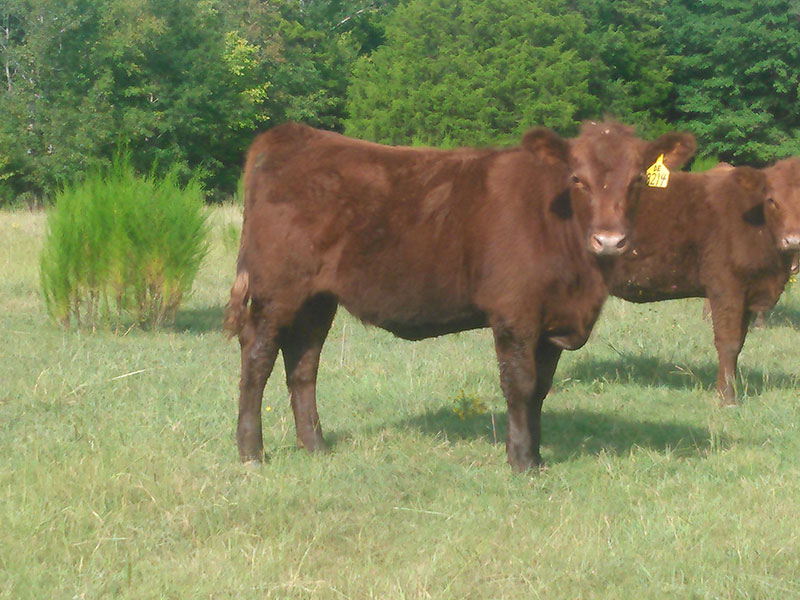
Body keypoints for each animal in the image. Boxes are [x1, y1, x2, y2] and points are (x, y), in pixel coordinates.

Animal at [224, 121, 695, 472]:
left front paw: (537, 456)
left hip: (317, 300)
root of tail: (291, 134)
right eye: (578, 179)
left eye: (636, 181)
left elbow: (541, 389)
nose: (610, 240)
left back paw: (316, 446)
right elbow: (520, 385)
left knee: (302, 364)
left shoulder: (551, 319)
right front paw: (521, 461)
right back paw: (252, 452)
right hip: (276, 290)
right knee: (258, 357)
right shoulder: (515, 313)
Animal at [606, 158, 800, 404]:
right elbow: (728, 343)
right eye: (772, 200)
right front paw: (727, 398)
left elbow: (739, 343)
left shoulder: (748, 293)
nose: (793, 240)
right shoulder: (726, 288)